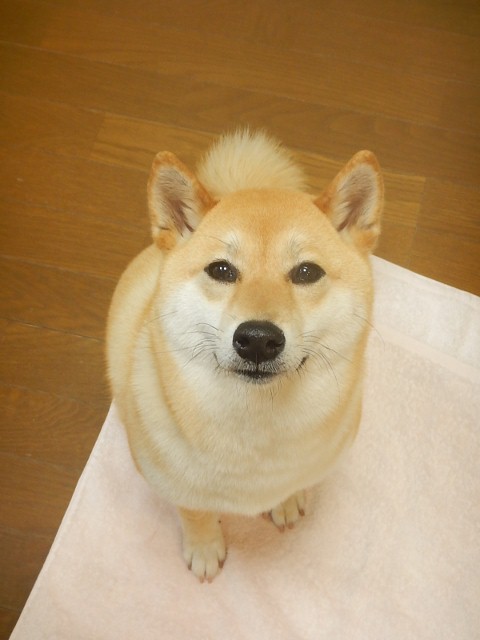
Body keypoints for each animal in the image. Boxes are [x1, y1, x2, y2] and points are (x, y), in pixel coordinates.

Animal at [106, 129, 383, 582]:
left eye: (307, 272)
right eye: (221, 270)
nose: (257, 339)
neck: (255, 425)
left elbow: (294, 483)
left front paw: (286, 501)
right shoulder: (176, 484)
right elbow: (195, 513)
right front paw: (204, 547)